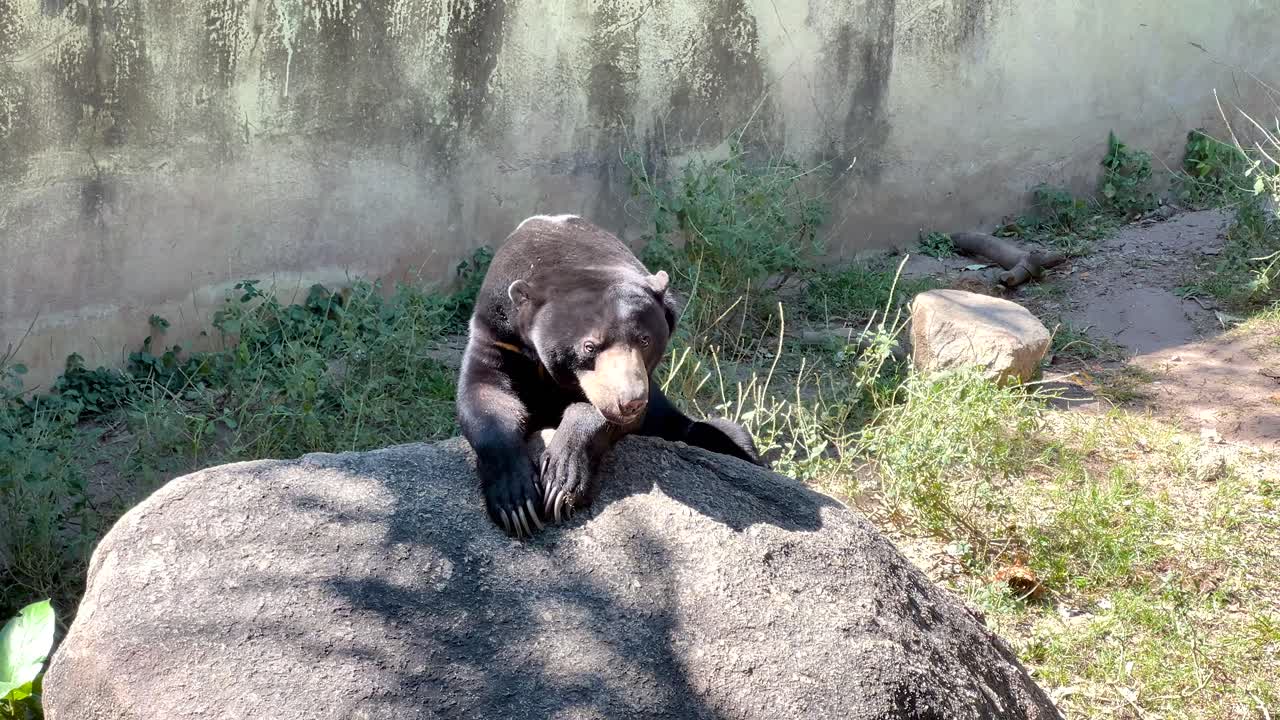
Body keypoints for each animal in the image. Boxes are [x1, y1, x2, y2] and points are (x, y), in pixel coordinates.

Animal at [456, 214, 765, 537]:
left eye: (645, 340)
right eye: (589, 346)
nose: (630, 401)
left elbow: (601, 416)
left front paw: (561, 482)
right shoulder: (498, 333)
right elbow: (486, 395)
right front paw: (517, 505)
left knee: (729, 434)